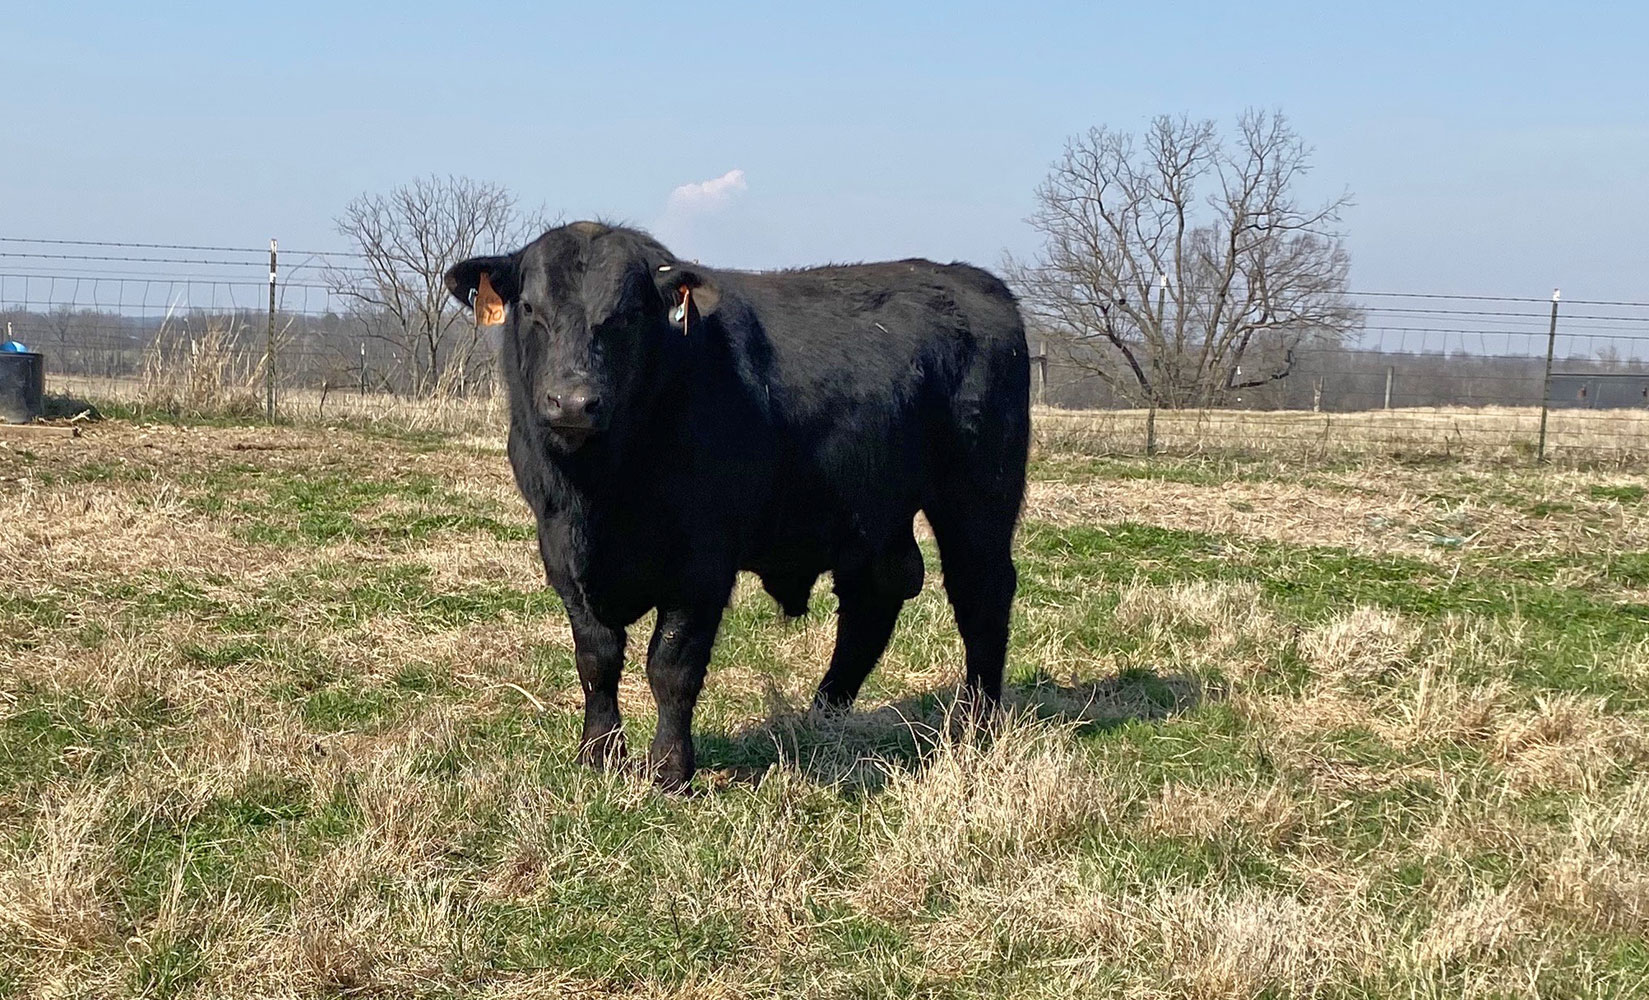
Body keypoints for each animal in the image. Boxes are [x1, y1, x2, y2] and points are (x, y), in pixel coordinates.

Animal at [445, 221, 1029, 789]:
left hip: (978, 496)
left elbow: (671, 665)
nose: (572, 402)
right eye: (529, 308)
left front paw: (669, 769)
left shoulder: (702, 562)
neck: (601, 491)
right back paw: (823, 715)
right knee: (875, 597)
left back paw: (977, 722)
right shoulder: (560, 547)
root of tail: (976, 282)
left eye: (627, 315)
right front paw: (599, 754)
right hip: (874, 513)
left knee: (981, 594)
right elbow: (597, 660)